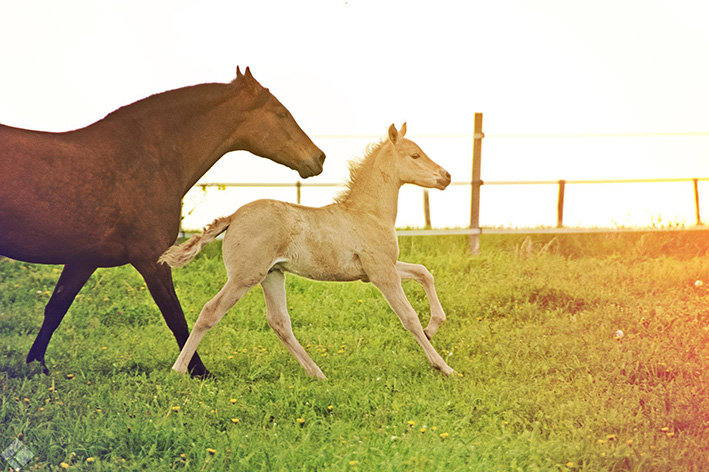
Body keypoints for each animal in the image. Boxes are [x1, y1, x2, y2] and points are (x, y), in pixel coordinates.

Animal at [0, 66, 325, 377]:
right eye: (281, 113)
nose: (319, 158)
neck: (144, 159)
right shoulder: (151, 260)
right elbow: (176, 317)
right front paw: (198, 371)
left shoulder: (83, 259)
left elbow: (55, 308)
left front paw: (35, 366)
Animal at [159, 123, 455, 378]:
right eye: (415, 154)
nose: (446, 176)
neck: (367, 213)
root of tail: (233, 216)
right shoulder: (382, 273)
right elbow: (409, 317)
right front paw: (444, 367)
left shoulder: (381, 269)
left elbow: (424, 272)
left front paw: (433, 327)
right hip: (244, 277)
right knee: (211, 311)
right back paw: (179, 370)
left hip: (272, 275)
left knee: (280, 323)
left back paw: (317, 374)